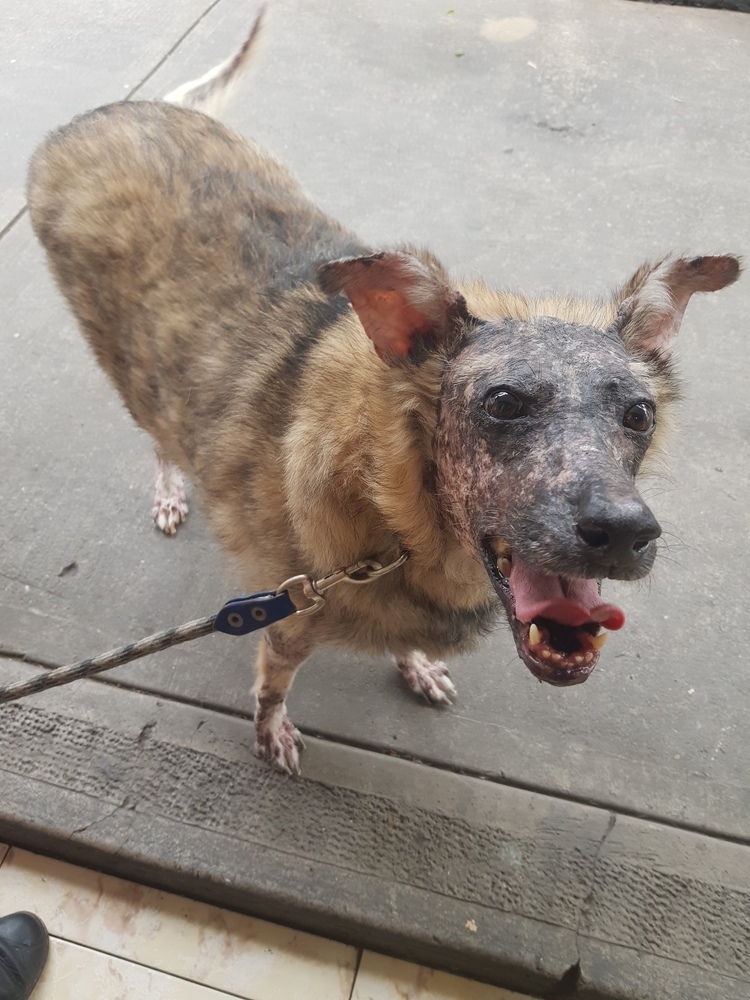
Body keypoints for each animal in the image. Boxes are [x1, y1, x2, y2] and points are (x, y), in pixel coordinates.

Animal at [25, 15, 740, 772]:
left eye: (639, 413)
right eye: (503, 403)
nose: (626, 533)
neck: (398, 519)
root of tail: (113, 112)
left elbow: (403, 641)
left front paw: (415, 663)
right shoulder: (289, 619)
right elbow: (272, 688)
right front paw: (272, 732)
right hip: (129, 369)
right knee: (159, 436)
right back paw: (168, 488)